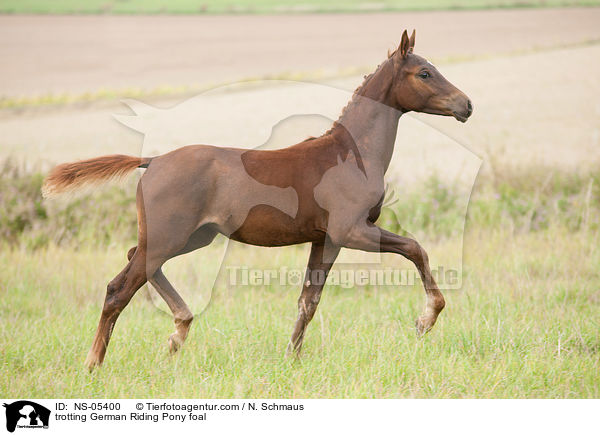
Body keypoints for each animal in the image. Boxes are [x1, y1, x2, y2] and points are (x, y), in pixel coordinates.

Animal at [43, 30, 474, 372]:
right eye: (424, 73)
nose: (466, 105)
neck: (351, 154)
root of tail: (153, 161)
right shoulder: (352, 230)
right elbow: (415, 249)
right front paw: (425, 320)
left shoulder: (326, 239)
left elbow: (308, 301)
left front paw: (291, 359)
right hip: (170, 237)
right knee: (119, 287)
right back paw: (94, 363)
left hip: (191, 237)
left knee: (138, 260)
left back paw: (179, 330)